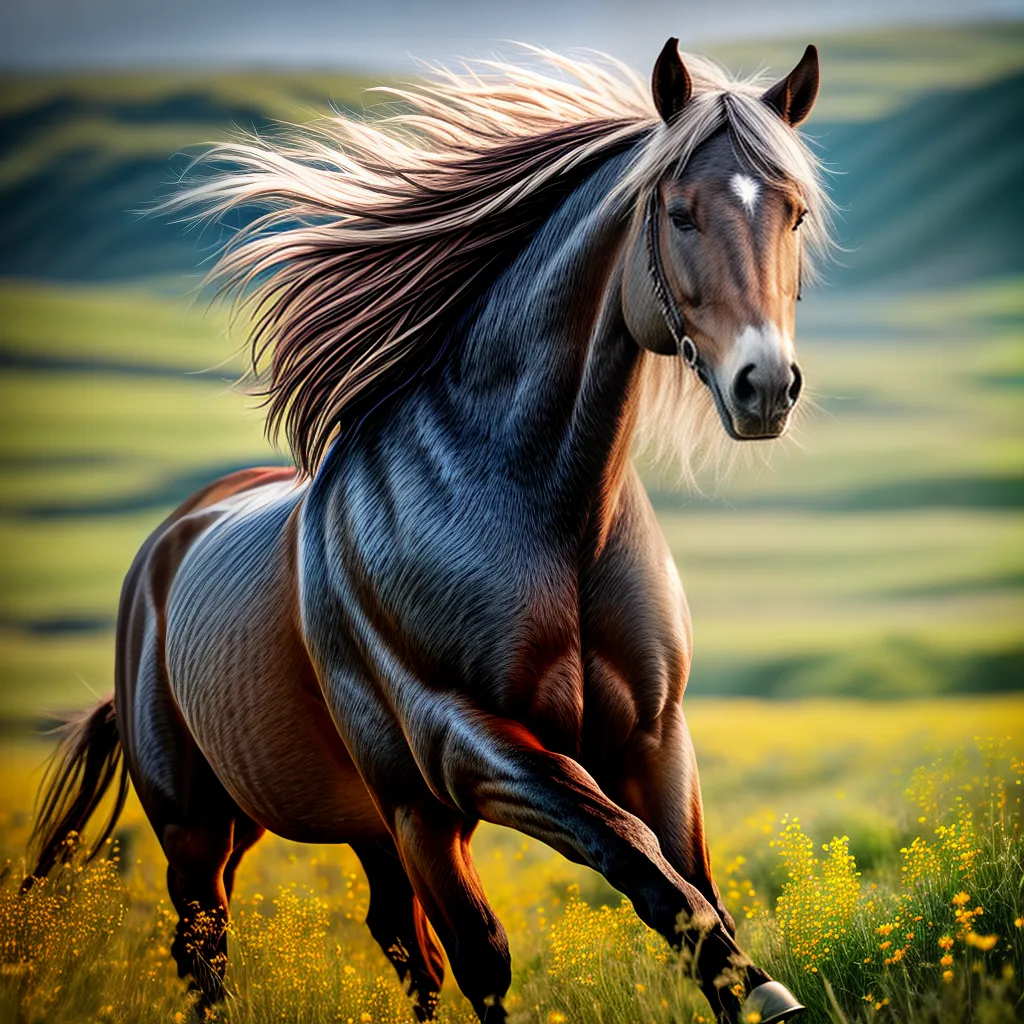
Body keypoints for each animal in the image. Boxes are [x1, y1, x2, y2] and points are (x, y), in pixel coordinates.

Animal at [27, 38, 830, 1024]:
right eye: (678, 212)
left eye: (794, 214)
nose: (766, 388)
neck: (542, 518)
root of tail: (164, 550)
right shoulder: (459, 752)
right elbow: (609, 882)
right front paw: (770, 989)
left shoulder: (653, 739)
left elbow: (693, 898)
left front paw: (761, 991)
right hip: (218, 824)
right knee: (210, 946)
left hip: (370, 820)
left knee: (399, 938)